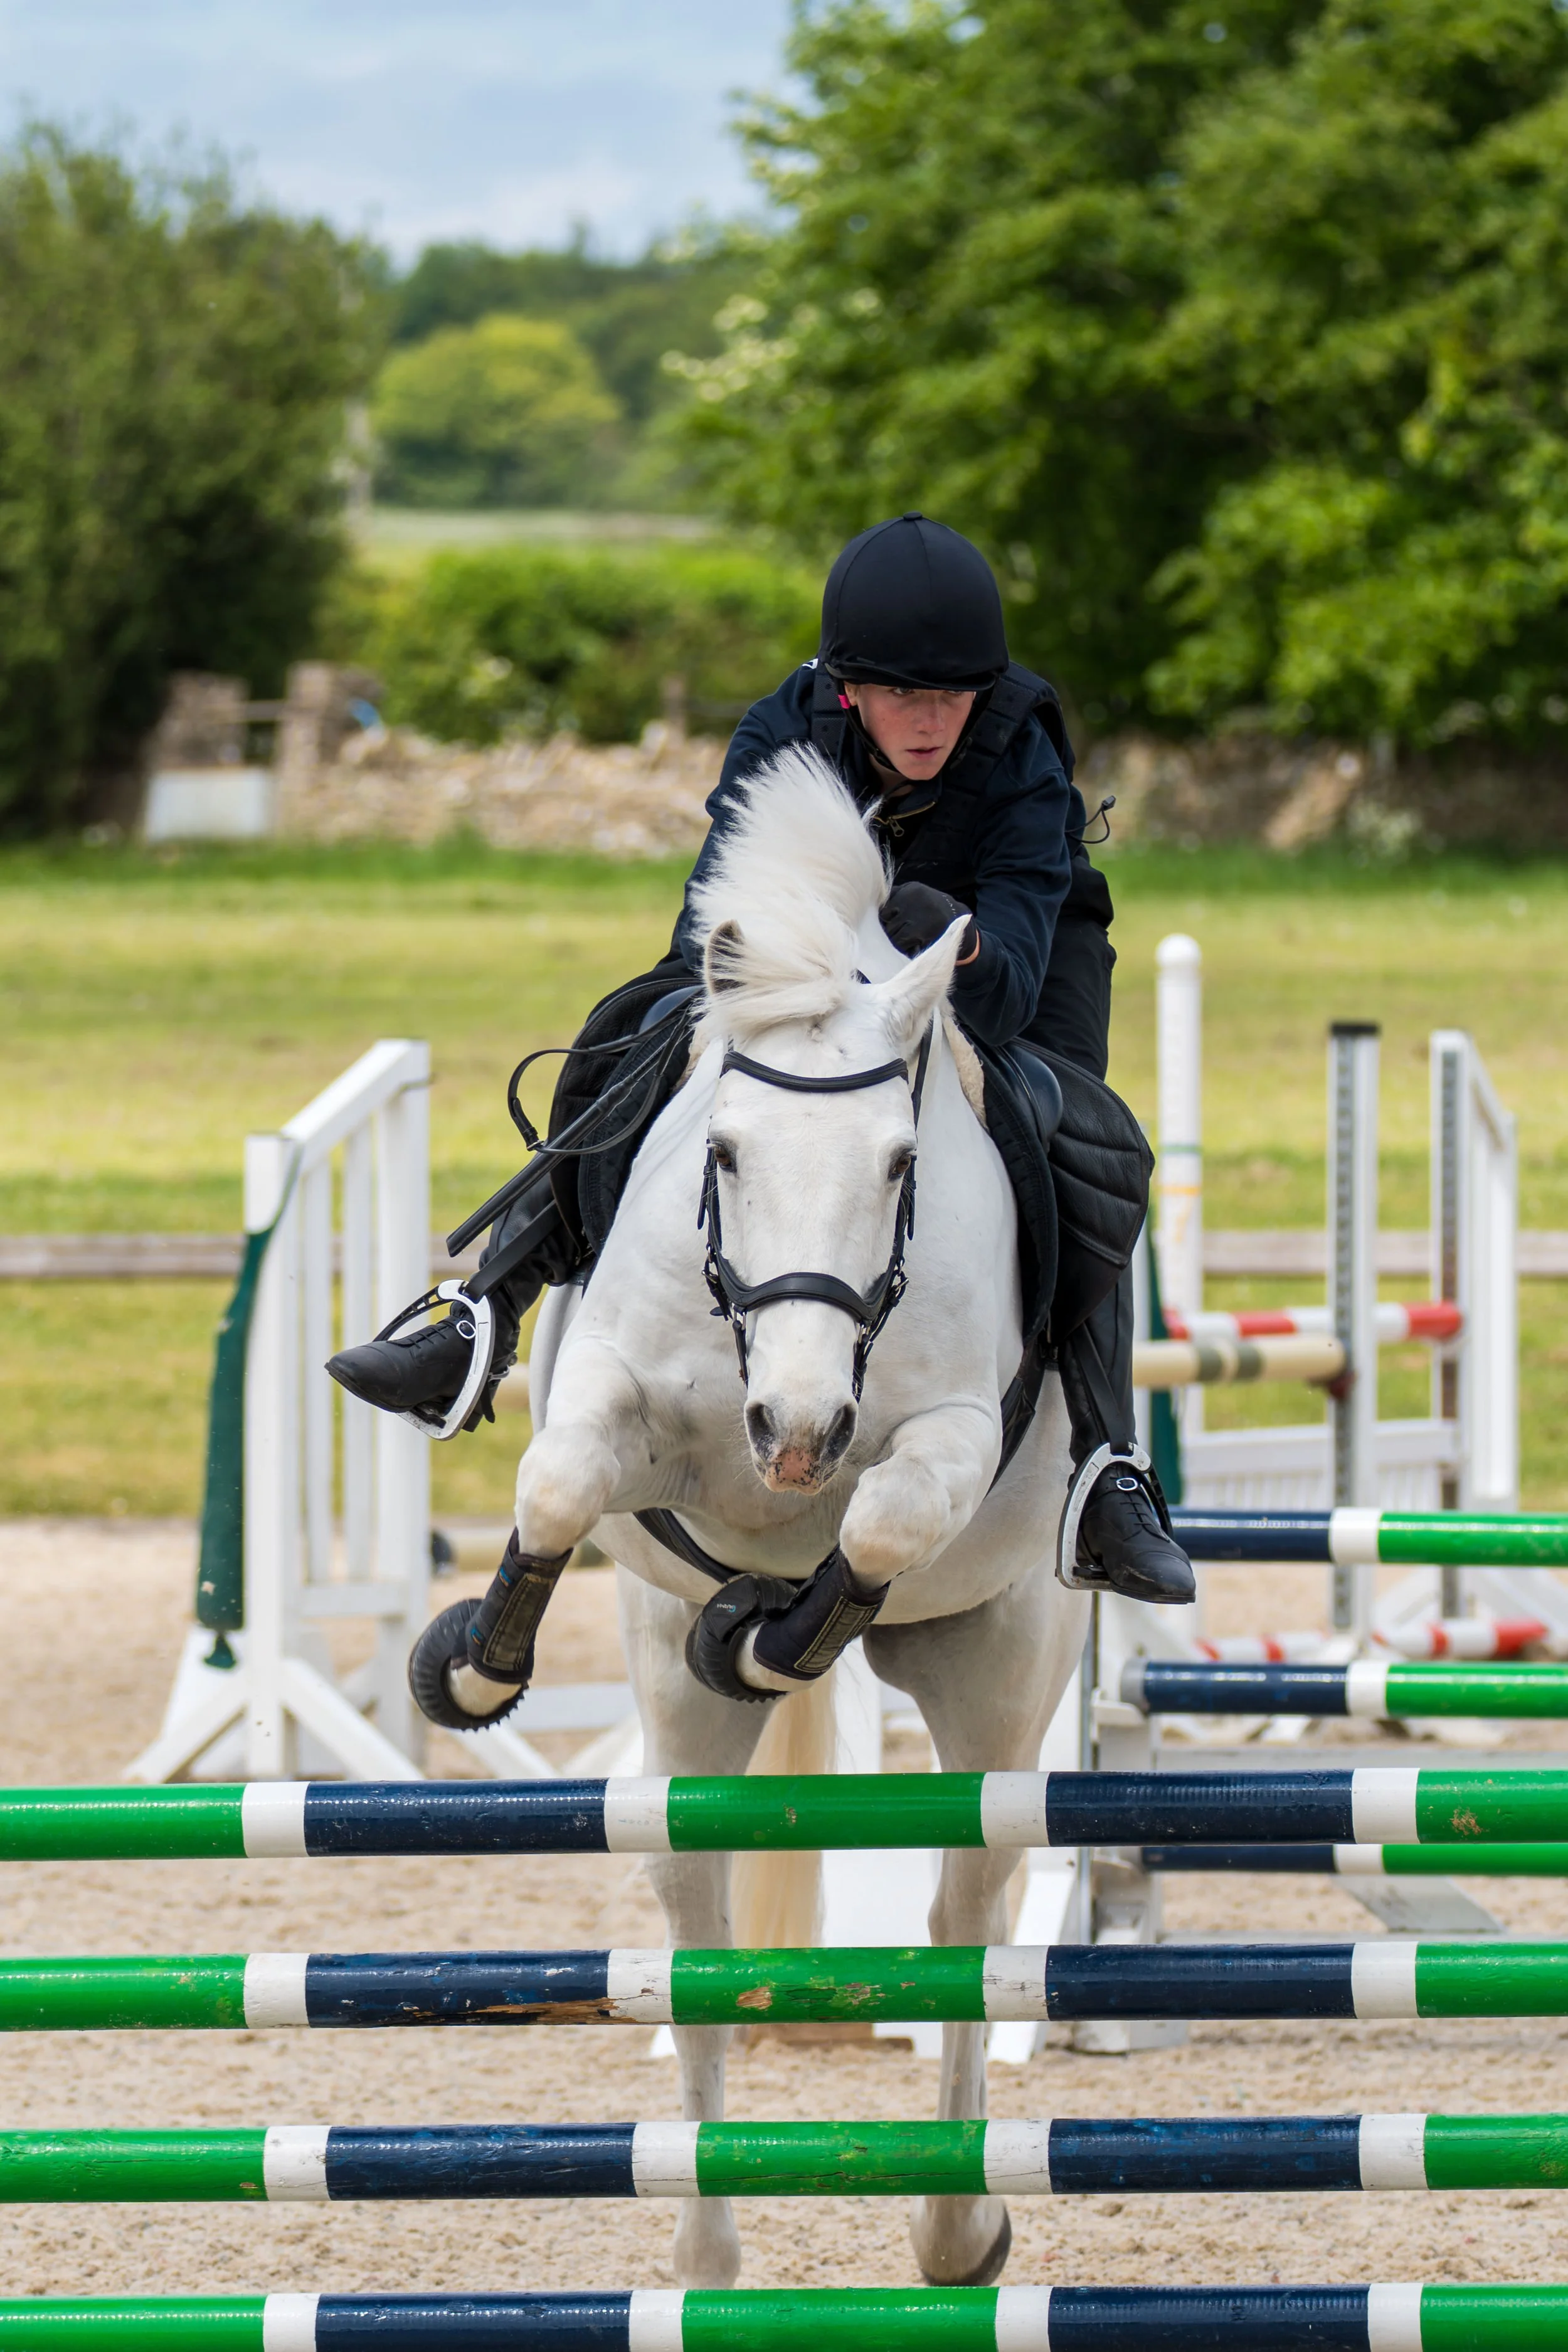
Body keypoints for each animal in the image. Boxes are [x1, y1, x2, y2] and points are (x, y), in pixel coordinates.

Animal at [456, 747, 1085, 2287]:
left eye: (900, 1164)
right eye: (726, 1154)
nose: (795, 1438)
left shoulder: (949, 1442)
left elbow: (882, 1528)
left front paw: (781, 1624)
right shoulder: (616, 1400)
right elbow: (559, 1483)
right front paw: (473, 1668)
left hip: (998, 1681)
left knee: (965, 1914)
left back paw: (955, 2230)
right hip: (674, 1728)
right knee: (697, 1926)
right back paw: (704, 2253)